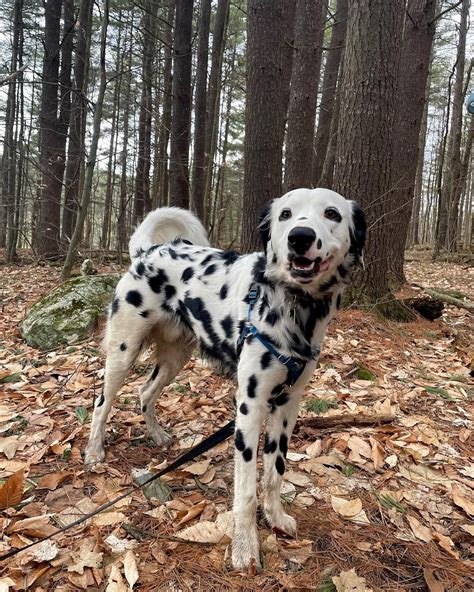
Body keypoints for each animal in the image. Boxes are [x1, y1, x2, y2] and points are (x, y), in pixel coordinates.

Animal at [85, 187, 366, 572]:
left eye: (332, 214)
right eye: (286, 214)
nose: (300, 237)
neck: (295, 309)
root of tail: (148, 252)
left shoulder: (287, 404)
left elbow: (275, 471)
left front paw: (276, 517)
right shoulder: (249, 406)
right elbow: (246, 490)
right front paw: (245, 547)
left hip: (175, 357)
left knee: (145, 392)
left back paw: (156, 435)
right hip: (123, 352)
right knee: (102, 402)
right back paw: (94, 451)